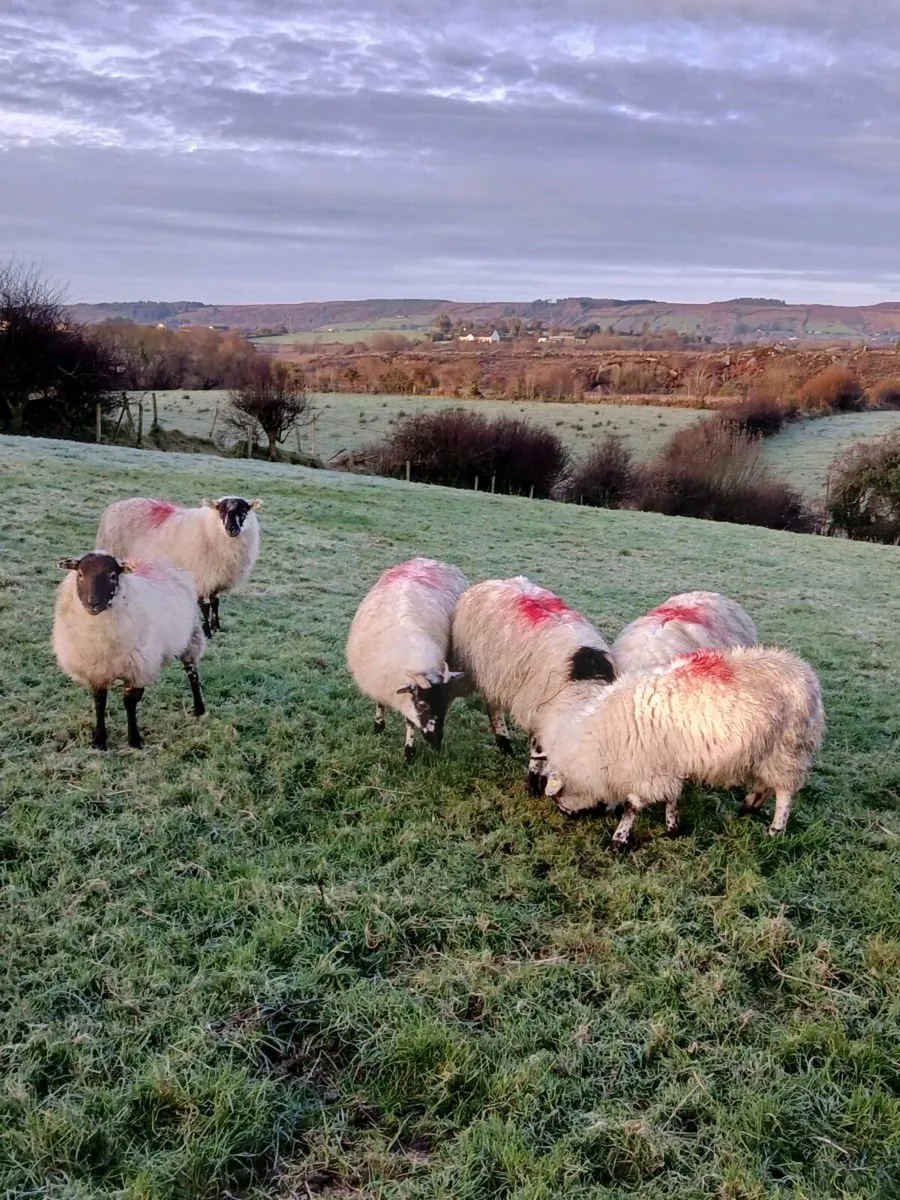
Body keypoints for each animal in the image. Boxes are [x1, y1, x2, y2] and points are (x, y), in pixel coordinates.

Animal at [53, 551, 206, 750]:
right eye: (80, 574)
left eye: (113, 576)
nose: (92, 603)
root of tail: (157, 559)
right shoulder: (96, 670)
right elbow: (99, 701)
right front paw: (99, 740)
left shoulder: (137, 668)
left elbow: (129, 703)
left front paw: (134, 740)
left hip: (190, 637)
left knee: (192, 672)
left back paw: (199, 708)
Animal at [95, 496, 261, 637]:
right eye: (221, 511)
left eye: (244, 511)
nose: (232, 529)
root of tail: (116, 505)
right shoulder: (201, 576)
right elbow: (205, 605)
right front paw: (207, 632)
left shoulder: (215, 578)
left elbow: (215, 603)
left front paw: (216, 628)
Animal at [346, 557, 470, 760]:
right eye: (422, 704)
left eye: (444, 705)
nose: (437, 743)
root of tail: (430, 559)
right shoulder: (381, 680)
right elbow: (381, 703)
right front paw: (378, 726)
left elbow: (410, 722)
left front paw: (408, 752)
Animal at [450, 576, 615, 794]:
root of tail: (490, 582)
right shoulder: (540, 709)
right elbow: (538, 749)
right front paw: (533, 784)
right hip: (486, 668)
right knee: (492, 706)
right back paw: (504, 744)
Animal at [539, 646, 824, 849]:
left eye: (558, 797)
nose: (567, 817)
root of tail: (806, 674)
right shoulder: (668, 766)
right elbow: (672, 798)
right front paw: (672, 828)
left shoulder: (648, 770)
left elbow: (633, 807)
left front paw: (618, 840)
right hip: (765, 752)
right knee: (765, 784)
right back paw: (746, 808)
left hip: (788, 749)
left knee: (784, 792)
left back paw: (775, 830)